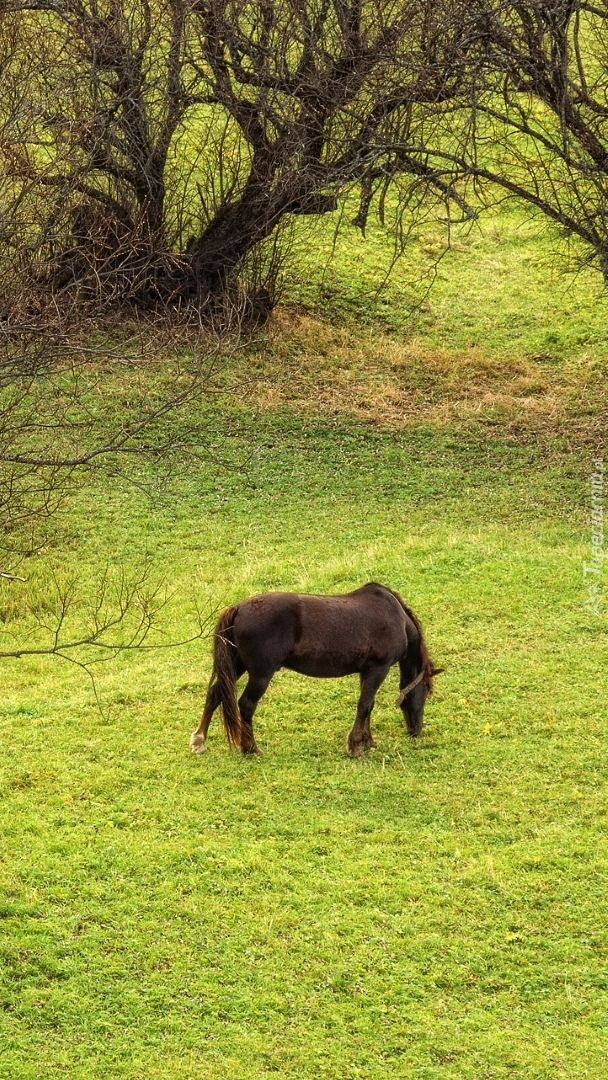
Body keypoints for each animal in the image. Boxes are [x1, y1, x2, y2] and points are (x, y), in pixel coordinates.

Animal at [190, 583, 442, 760]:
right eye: (426, 691)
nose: (416, 730)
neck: (395, 616)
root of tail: (239, 608)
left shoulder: (366, 671)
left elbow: (367, 706)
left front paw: (367, 740)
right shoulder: (378, 669)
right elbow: (364, 705)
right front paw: (355, 746)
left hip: (237, 666)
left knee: (215, 694)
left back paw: (199, 740)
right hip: (261, 674)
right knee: (246, 705)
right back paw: (250, 747)